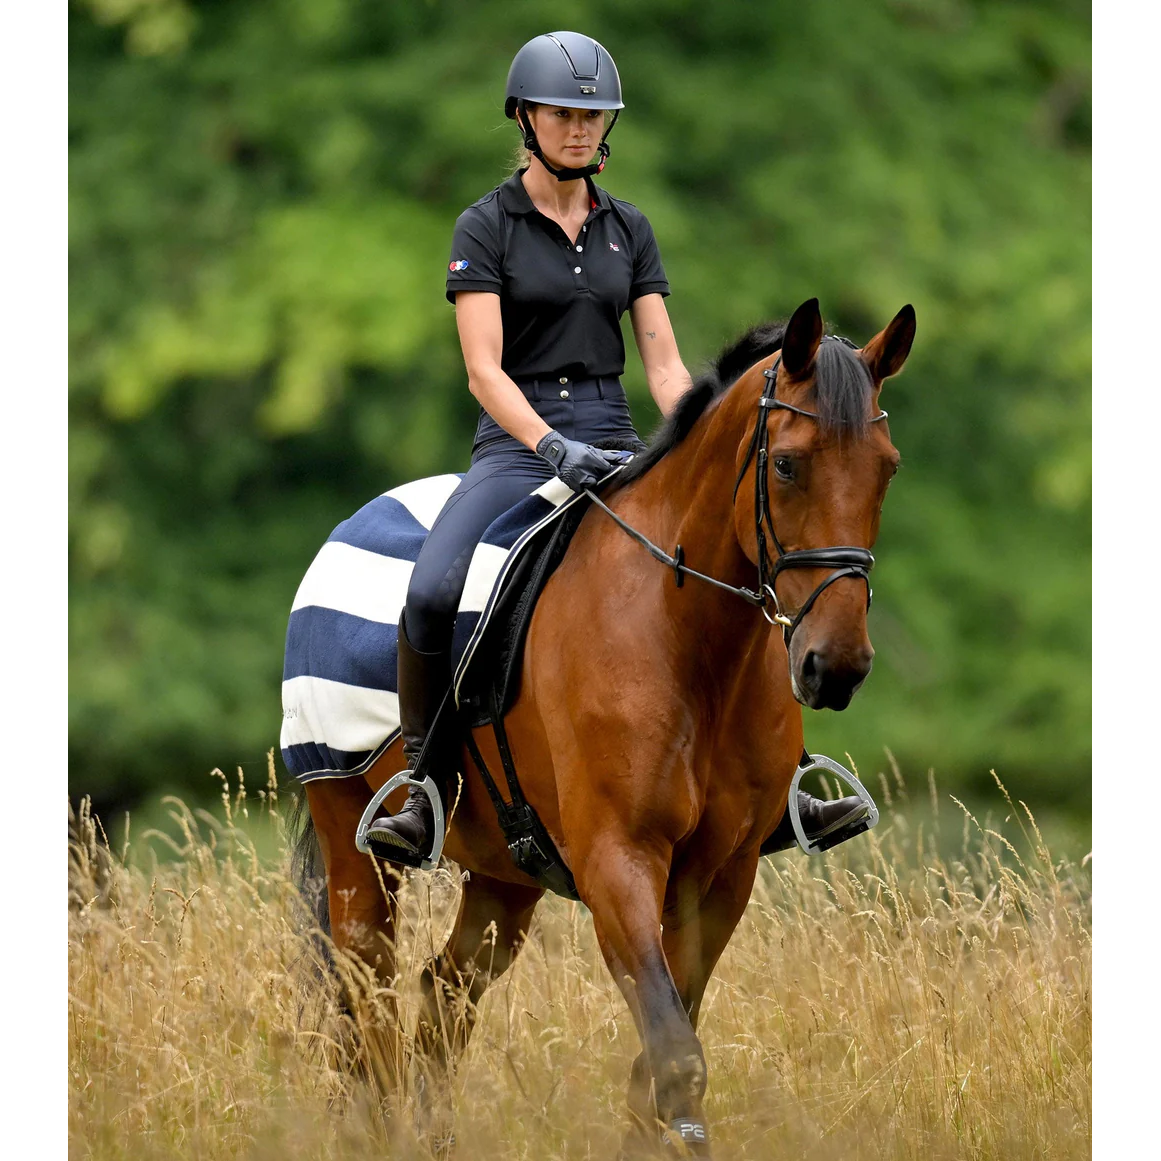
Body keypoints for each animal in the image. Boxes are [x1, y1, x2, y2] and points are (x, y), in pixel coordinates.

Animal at [291, 296, 915, 1155]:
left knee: (442, 998)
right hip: (352, 842)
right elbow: (675, 1054)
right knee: (368, 1010)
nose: (837, 664)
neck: (685, 636)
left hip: (503, 877)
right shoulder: (617, 861)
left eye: (886, 466)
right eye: (787, 465)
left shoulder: (720, 878)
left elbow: (661, 1055)